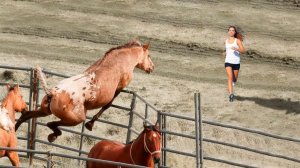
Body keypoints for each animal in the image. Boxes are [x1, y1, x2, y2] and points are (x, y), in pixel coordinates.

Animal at [15, 40, 155, 142]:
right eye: (148, 55)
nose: (152, 68)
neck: (123, 59)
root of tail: (53, 93)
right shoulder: (120, 87)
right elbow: (107, 105)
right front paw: (90, 124)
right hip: (76, 118)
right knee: (51, 124)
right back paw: (53, 135)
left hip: (45, 111)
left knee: (26, 115)